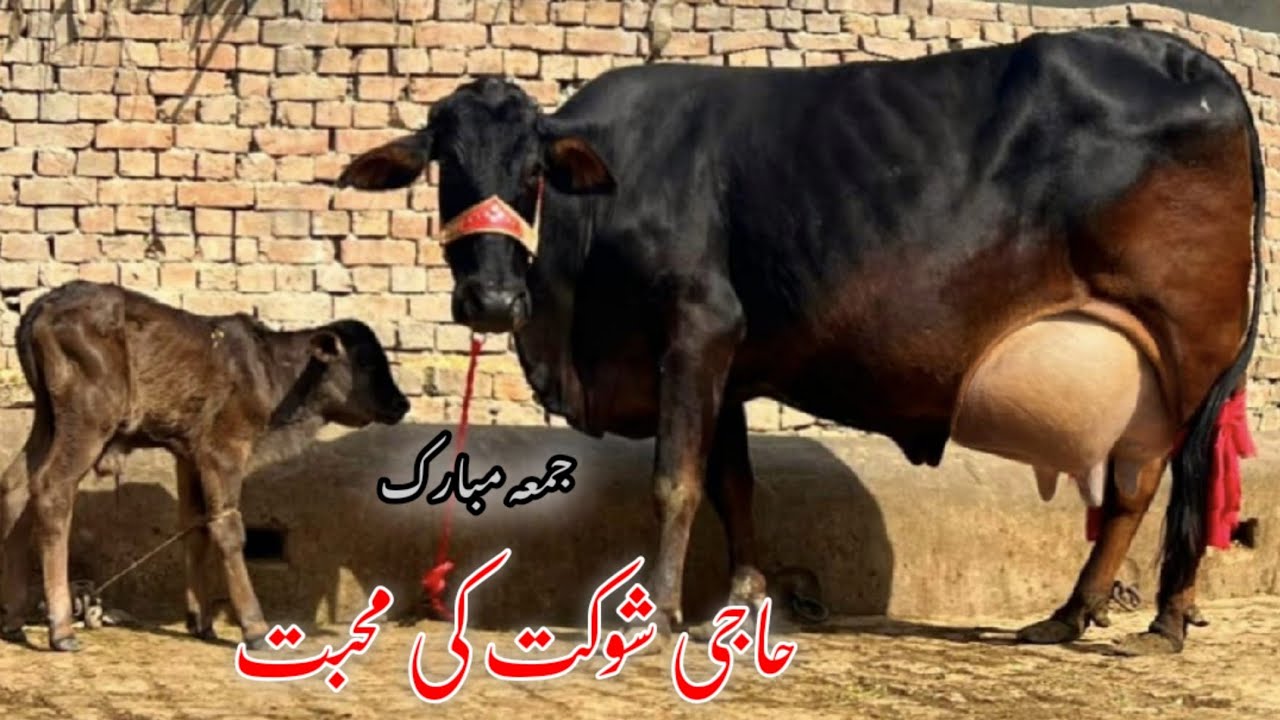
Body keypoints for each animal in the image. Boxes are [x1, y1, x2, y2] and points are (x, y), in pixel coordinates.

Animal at [0, 281, 411, 651]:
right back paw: (60, 629)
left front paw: (201, 621)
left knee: (17, 486)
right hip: (87, 421)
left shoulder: (188, 454)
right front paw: (254, 627)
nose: (401, 403)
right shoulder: (223, 451)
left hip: (47, 419)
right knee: (52, 489)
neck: (270, 370)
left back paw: (14, 620)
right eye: (365, 362)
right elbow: (227, 528)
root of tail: (45, 303)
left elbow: (195, 526)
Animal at [336, 26, 1263, 655]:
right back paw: (1078, 615)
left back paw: (1151, 616)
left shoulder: (697, 327)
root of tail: (1195, 65)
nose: (491, 299)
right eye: (446, 166)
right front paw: (742, 597)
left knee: (1166, 479)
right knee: (1136, 483)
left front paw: (659, 609)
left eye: (532, 171)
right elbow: (733, 485)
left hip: (1186, 347)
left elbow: (676, 480)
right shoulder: (728, 364)